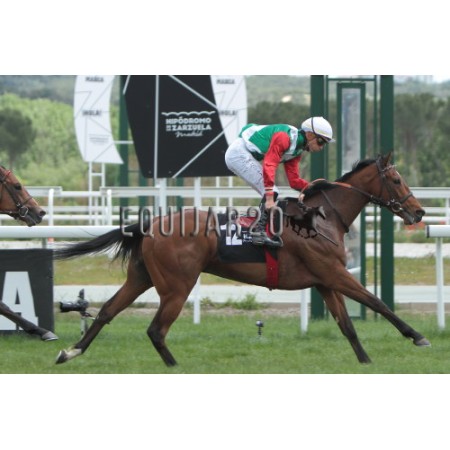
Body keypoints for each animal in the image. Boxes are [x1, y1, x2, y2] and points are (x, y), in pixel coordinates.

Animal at [54, 152, 429, 366]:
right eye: (396, 179)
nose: (419, 212)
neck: (322, 218)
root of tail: (151, 224)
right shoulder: (334, 273)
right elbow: (377, 302)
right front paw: (416, 336)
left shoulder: (325, 281)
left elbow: (347, 324)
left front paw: (365, 361)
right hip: (177, 286)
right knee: (156, 330)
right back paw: (175, 366)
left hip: (141, 277)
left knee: (106, 312)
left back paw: (70, 352)